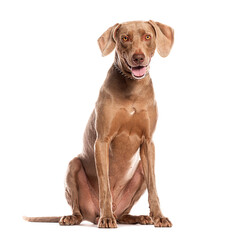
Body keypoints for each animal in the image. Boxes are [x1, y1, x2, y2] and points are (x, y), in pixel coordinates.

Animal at [24, 20, 175, 227]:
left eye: (147, 36)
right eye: (125, 38)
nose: (138, 57)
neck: (132, 88)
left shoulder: (148, 142)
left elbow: (154, 187)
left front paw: (159, 217)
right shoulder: (102, 141)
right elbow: (104, 185)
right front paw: (106, 218)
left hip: (140, 172)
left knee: (125, 211)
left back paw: (138, 217)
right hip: (73, 167)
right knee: (79, 210)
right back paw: (79, 217)